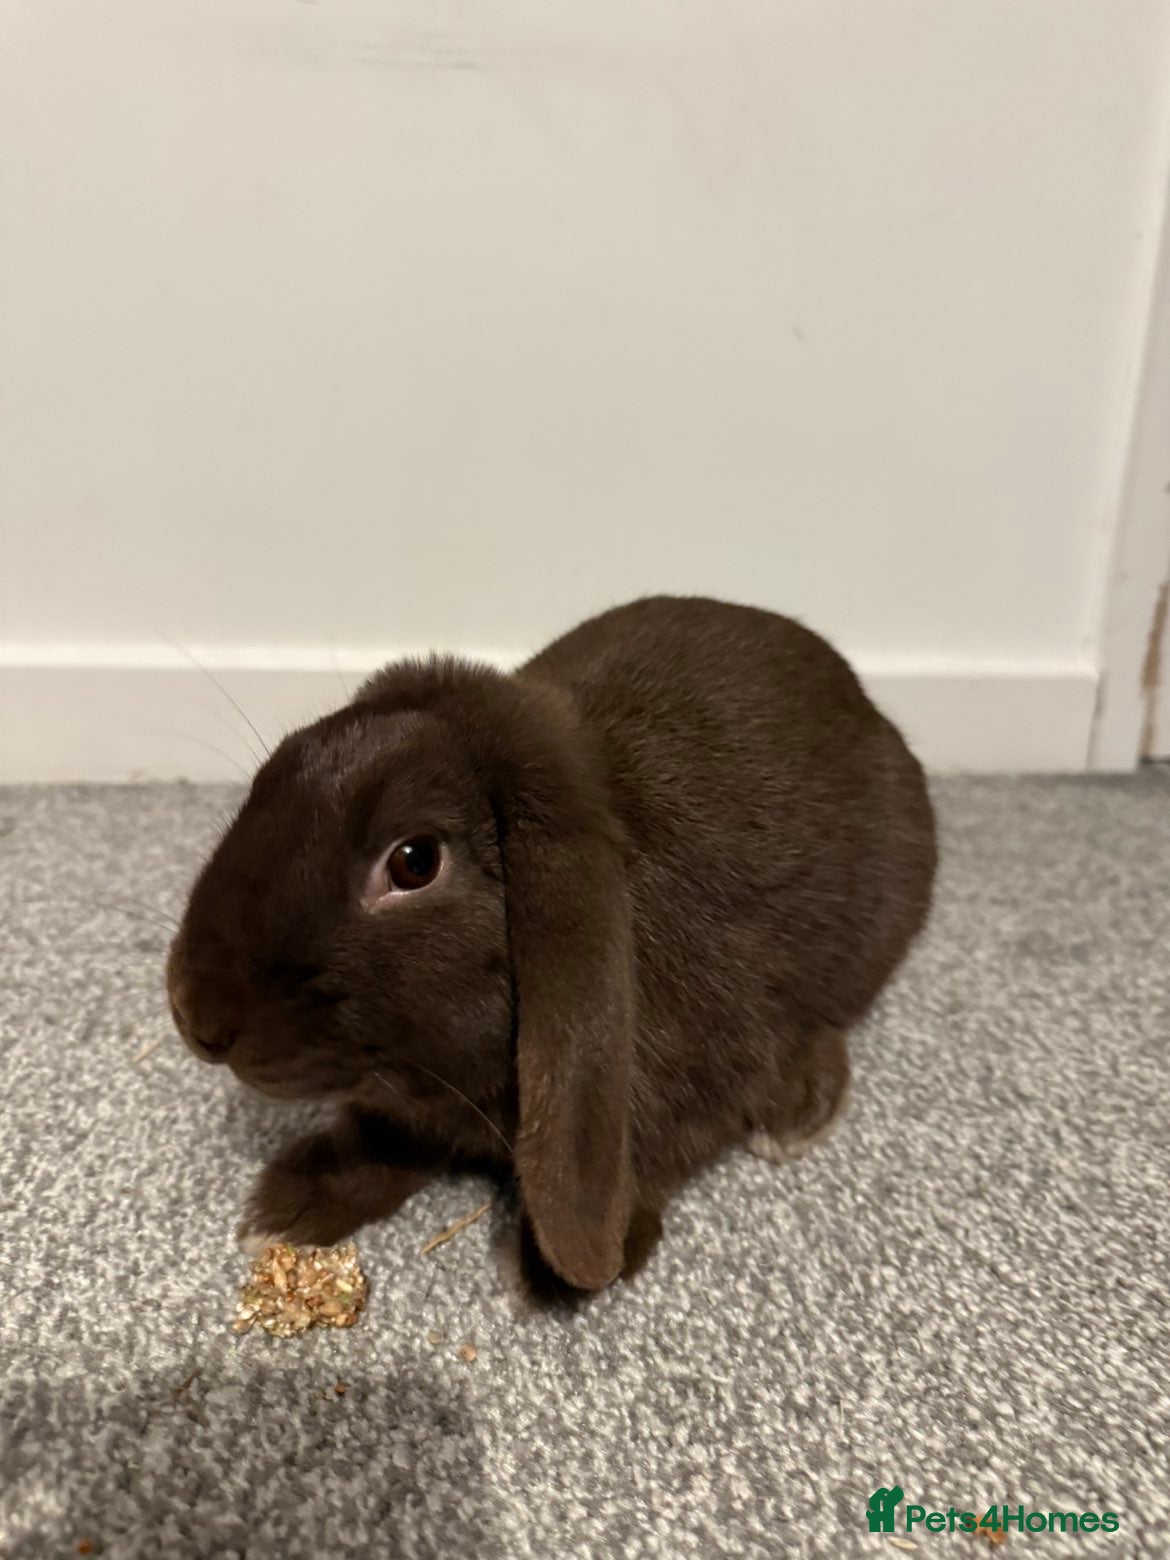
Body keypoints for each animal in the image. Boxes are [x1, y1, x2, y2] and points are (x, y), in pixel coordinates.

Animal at [167, 595, 936, 1292]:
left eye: (415, 862)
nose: (196, 1017)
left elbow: (656, 1159)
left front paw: (555, 1269)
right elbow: (382, 1140)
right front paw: (287, 1208)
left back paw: (798, 1111)